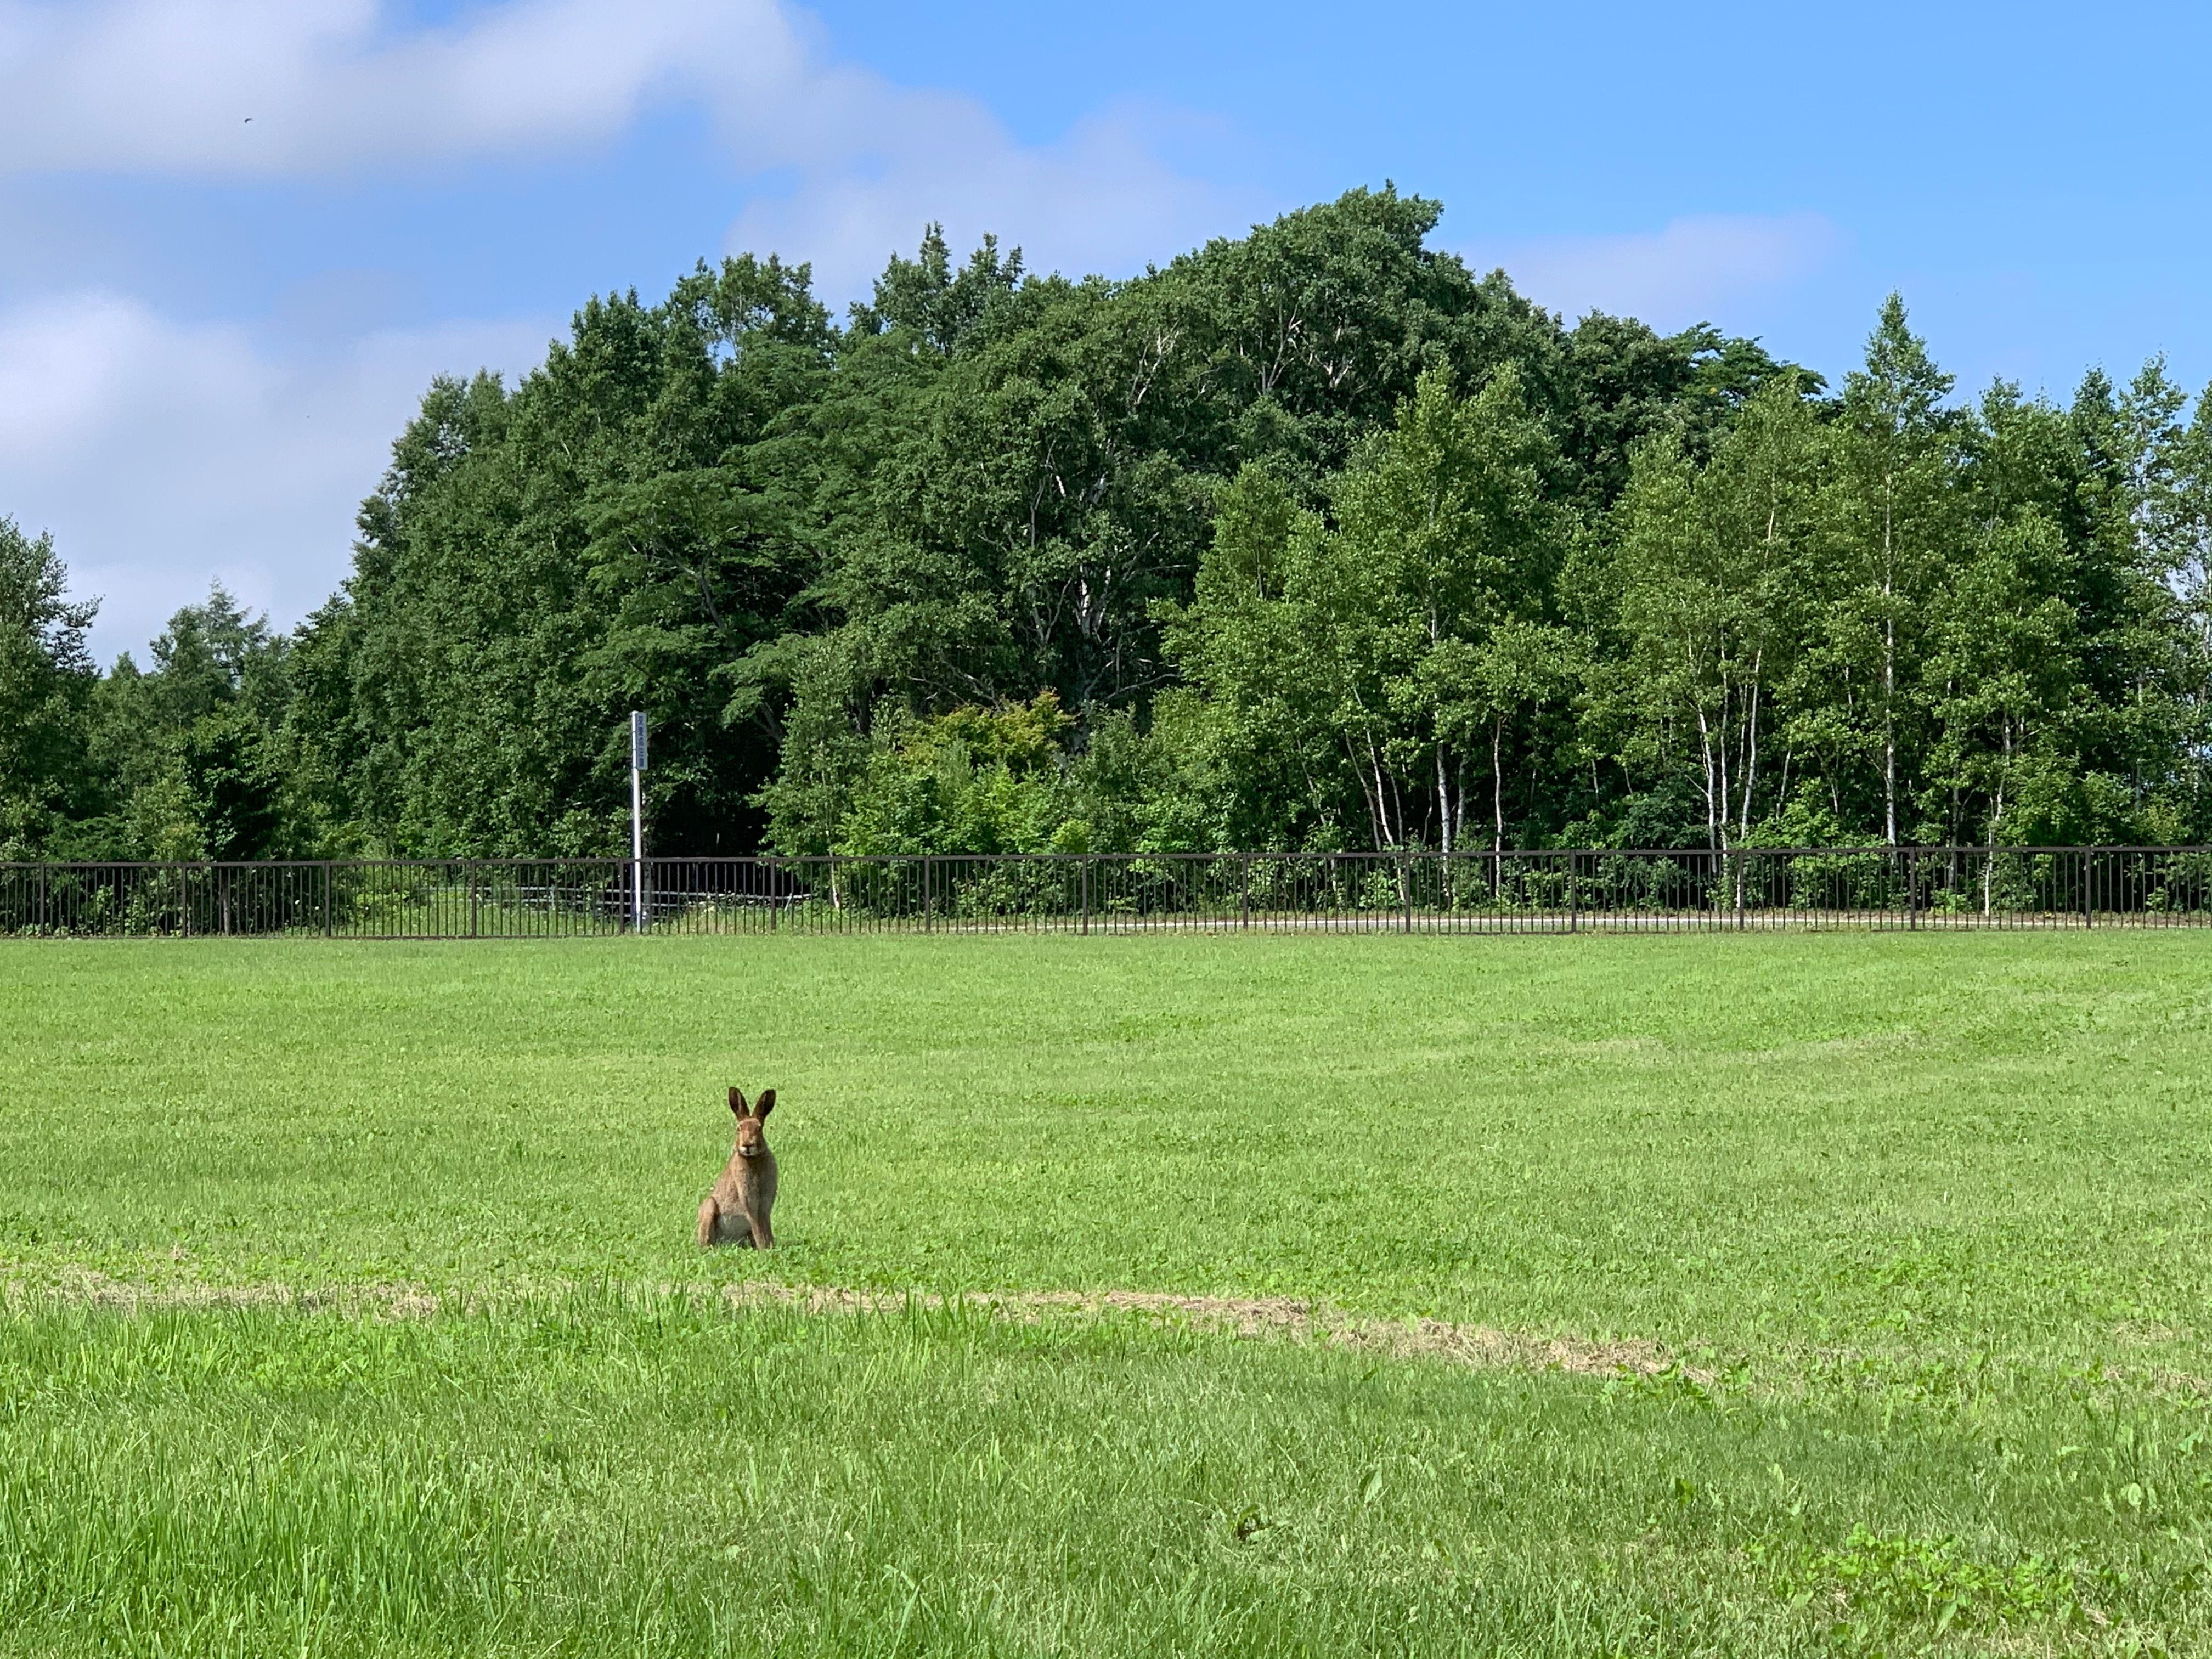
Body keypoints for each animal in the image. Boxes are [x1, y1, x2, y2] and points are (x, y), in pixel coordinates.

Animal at [696, 1087, 777, 1249]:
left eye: (759, 1129)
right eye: (739, 1128)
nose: (747, 1145)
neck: (752, 1159)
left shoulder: (765, 1206)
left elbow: (766, 1228)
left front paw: (770, 1247)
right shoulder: (749, 1201)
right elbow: (758, 1228)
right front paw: (764, 1249)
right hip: (710, 1205)